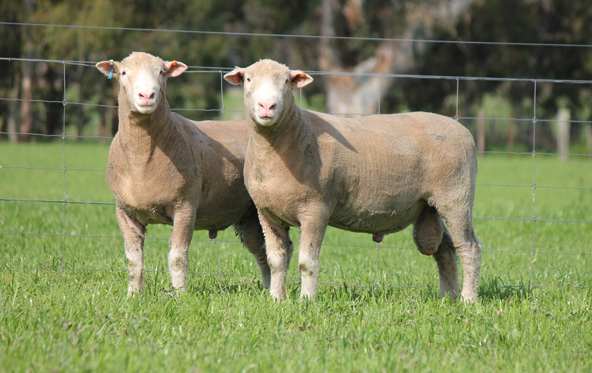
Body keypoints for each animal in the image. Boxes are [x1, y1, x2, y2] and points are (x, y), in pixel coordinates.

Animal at [96, 52, 270, 294]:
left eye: (161, 72)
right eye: (123, 73)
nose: (147, 95)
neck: (141, 159)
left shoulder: (185, 206)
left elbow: (177, 257)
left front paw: (180, 295)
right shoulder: (124, 210)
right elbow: (133, 260)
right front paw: (133, 295)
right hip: (248, 215)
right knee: (261, 251)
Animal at [225, 58, 480, 302]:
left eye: (286, 82)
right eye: (248, 79)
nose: (267, 106)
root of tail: (462, 129)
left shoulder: (316, 209)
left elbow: (307, 262)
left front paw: (306, 301)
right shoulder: (267, 213)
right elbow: (276, 261)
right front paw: (276, 300)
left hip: (456, 197)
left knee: (470, 248)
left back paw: (468, 300)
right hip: (430, 205)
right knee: (445, 250)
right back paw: (448, 297)